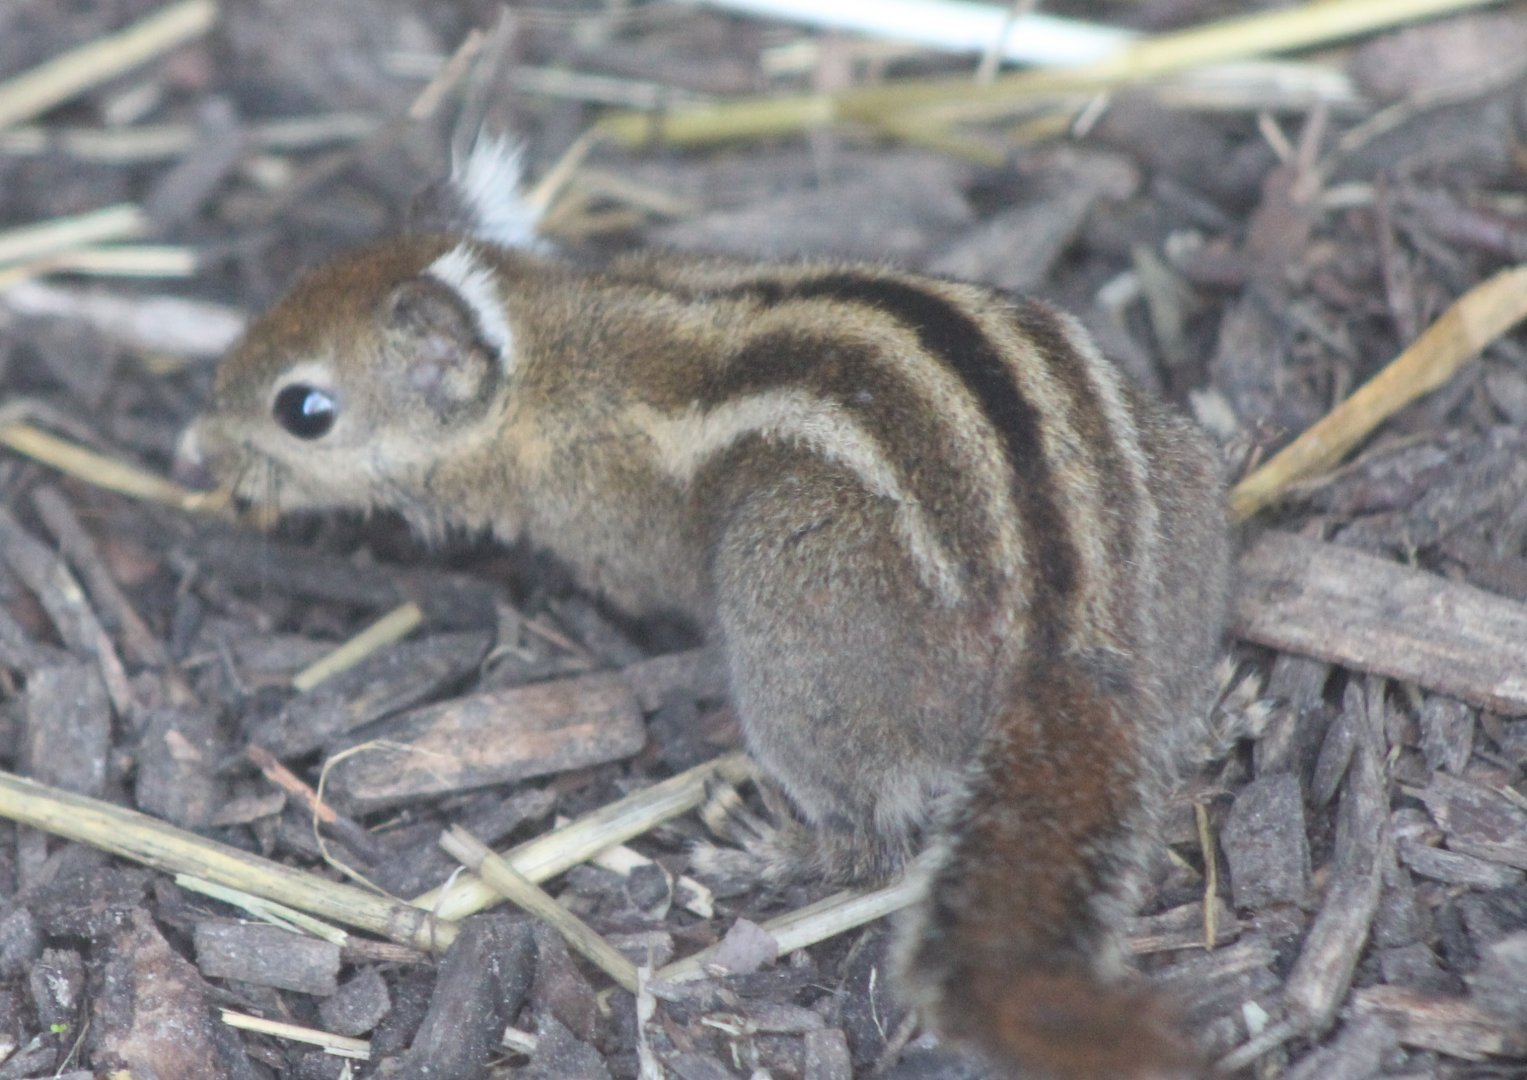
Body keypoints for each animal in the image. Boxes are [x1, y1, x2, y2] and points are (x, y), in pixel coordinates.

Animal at [178, 137, 1231, 1079]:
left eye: (302, 411)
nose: (197, 446)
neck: (552, 350)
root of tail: (1068, 646)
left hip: (791, 645)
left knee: (868, 843)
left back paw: (760, 850)